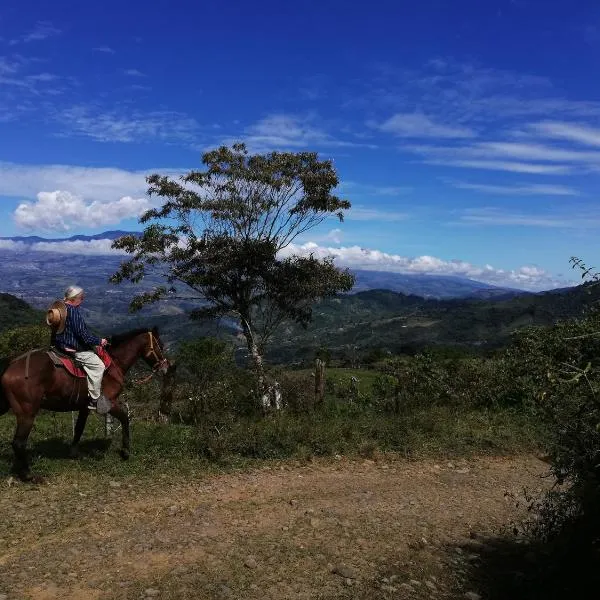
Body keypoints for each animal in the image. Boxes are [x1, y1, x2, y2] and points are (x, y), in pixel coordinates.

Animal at [0, 326, 171, 480]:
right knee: (19, 443)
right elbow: (124, 419)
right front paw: (125, 451)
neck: (114, 363)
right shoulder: (109, 403)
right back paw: (27, 474)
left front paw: (73, 452)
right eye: (160, 346)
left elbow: (79, 428)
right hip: (27, 413)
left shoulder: (84, 407)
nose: (166, 367)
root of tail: (11, 364)